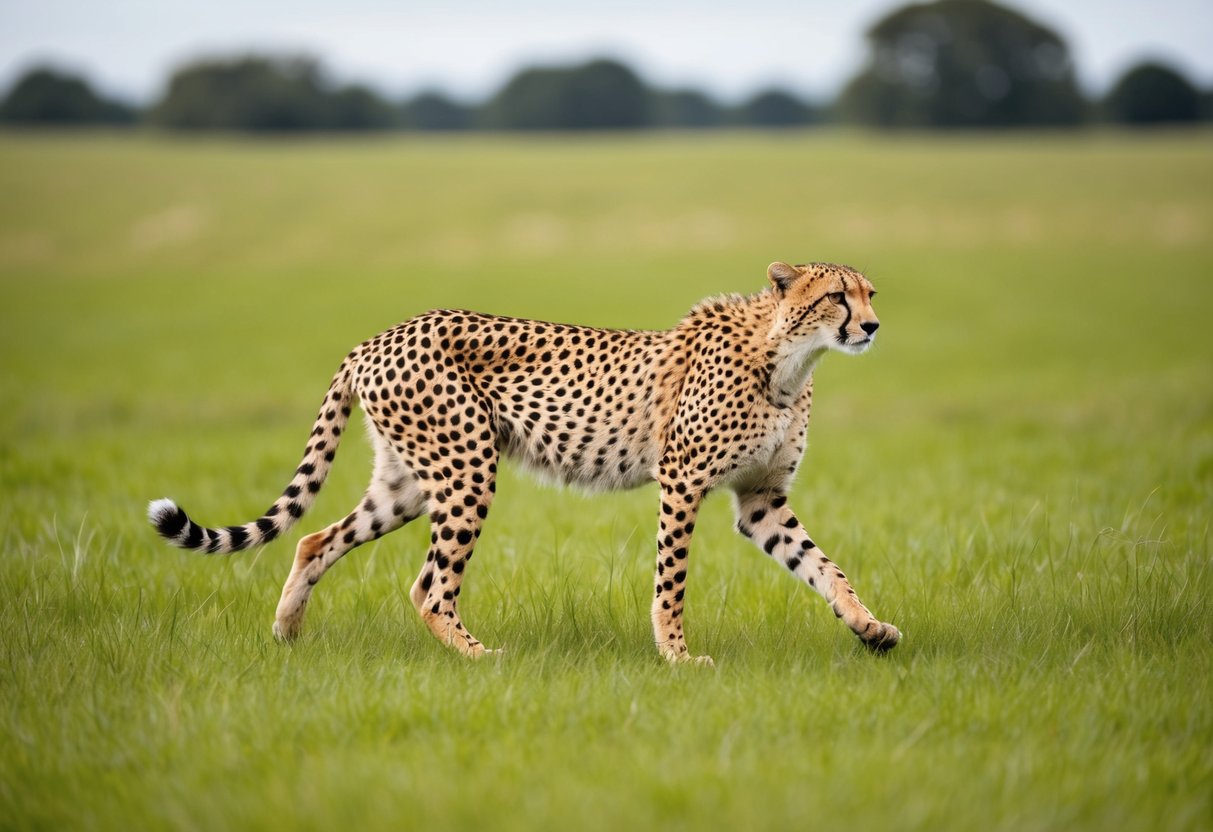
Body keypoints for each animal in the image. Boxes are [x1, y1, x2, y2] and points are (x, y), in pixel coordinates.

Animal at [148, 261, 900, 664]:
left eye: (870, 294)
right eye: (837, 296)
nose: (871, 327)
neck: (787, 360)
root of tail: (381, 334)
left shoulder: (760, 501)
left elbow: (824, 566)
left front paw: (868, 628)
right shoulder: (682, 484)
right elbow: (672, 582)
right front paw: (678, 656)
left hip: (408, 482)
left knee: (316, 540)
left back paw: (286, 632)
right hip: (466, 468)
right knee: (429, 586)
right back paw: (480, 657)